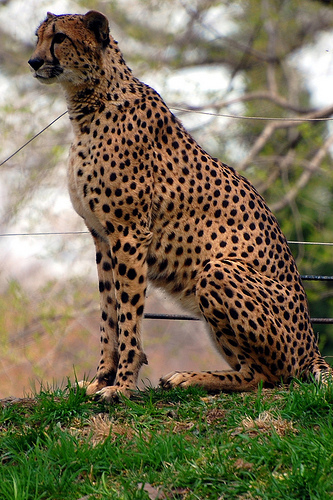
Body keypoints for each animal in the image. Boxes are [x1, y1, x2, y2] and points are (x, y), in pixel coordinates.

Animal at [28, 9, 330, 400]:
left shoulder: (129, 234)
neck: (92, 101)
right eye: (38, 36)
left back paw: (189, 377)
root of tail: (313, 346)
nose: (34, 61)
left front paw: (121, 387)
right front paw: (98, 380)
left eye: (60, 38)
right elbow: (108, 315)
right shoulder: (101, 237)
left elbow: (128, 316)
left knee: (268, 375)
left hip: (218, 270)